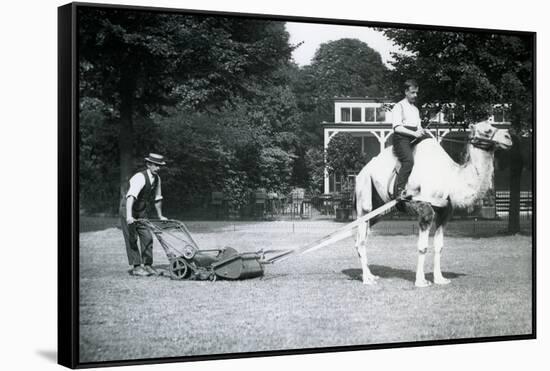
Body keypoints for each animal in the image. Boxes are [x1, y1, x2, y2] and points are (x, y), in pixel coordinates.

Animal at [356, 122, 516, 288]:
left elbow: (439, 246)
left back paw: (371, 275)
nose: (508, 137)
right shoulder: (425, 210)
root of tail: (361, 172)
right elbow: (423, 247)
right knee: (360, 239)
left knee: (363, 236)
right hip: (364, 196)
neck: (451, 179)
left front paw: (440, 279)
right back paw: (367, 279)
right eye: (487, 130)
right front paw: (421, 281)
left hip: (379, 210)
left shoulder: (444, 213)